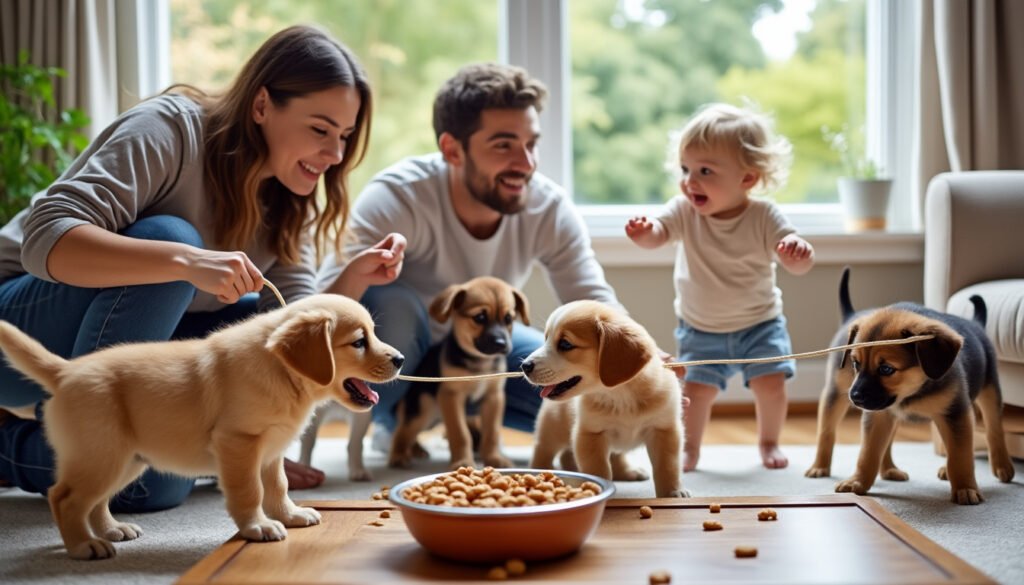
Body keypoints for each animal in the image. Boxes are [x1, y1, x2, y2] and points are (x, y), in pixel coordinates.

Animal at [0, 295, 403, 561]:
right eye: (359, 341)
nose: (400, 359)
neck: (281, 372)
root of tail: (67, 371)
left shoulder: (272, 449)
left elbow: (278, 486)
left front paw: (290, 515)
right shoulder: (239, 443)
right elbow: (250, 491)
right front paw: (258, 527)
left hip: (125, 460)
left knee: (93, 500)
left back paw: (111, 529)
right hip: (101, 454)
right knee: (64, 497)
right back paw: (84, 545)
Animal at [385, 276, 528, 473]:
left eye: (508, 319)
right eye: (480, 317)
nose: (501, 344)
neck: (480, 362)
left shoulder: (494, 398)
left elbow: (491, 432)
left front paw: (494, 458)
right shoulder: (451, 396)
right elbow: (460, 433)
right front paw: (463, 461)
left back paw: (415, 450)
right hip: (423, 410)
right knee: (402, 430)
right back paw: (399, 455)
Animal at [520, 301, 688, 499]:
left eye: (565, 344)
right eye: (546, 338)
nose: (524, 366)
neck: (620, 396)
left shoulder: (664, 430)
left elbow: (667, 467)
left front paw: (672, 493)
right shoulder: (589, 434)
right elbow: (599, 470)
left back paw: (628, 472)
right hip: (551, 428)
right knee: (543, 451)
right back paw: (539, 472)